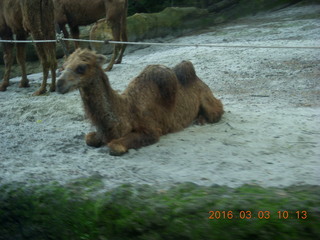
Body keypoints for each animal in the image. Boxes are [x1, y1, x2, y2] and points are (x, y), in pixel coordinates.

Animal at [56, 49, 224, 156]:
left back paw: (200, 120)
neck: (125, 111)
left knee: (217, 111)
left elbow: (115, 146)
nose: (59, 83)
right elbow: (89, 138)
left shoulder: (151, 130)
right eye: (62, 67)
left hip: (207, 98)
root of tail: (199, 80)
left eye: (81, 67)